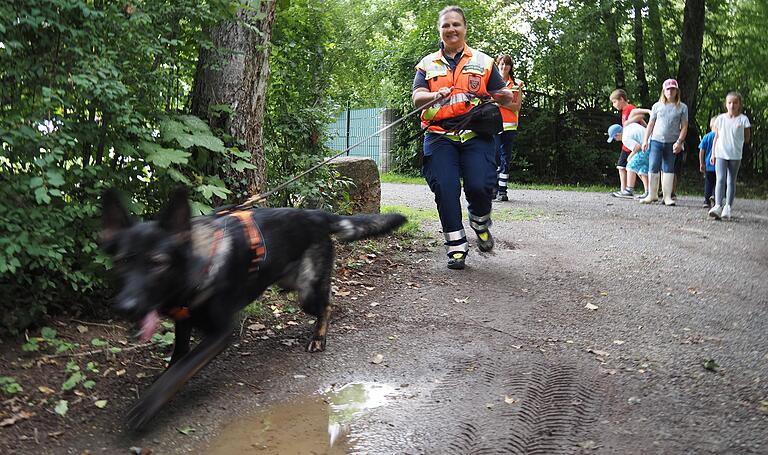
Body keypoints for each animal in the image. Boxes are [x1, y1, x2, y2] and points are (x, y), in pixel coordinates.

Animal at [100, 189, 408, 432]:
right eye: (122, 261)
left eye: (158, 263)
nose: (125, 307)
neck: (196, 264)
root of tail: (316, 213)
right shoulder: (183, 326)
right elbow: (176, 366)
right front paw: (159, 392)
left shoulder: (221, 333)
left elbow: (182, 369)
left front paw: (147, 406)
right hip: (288, 280)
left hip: (306, 293)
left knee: (328, 304)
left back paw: (318, 337)